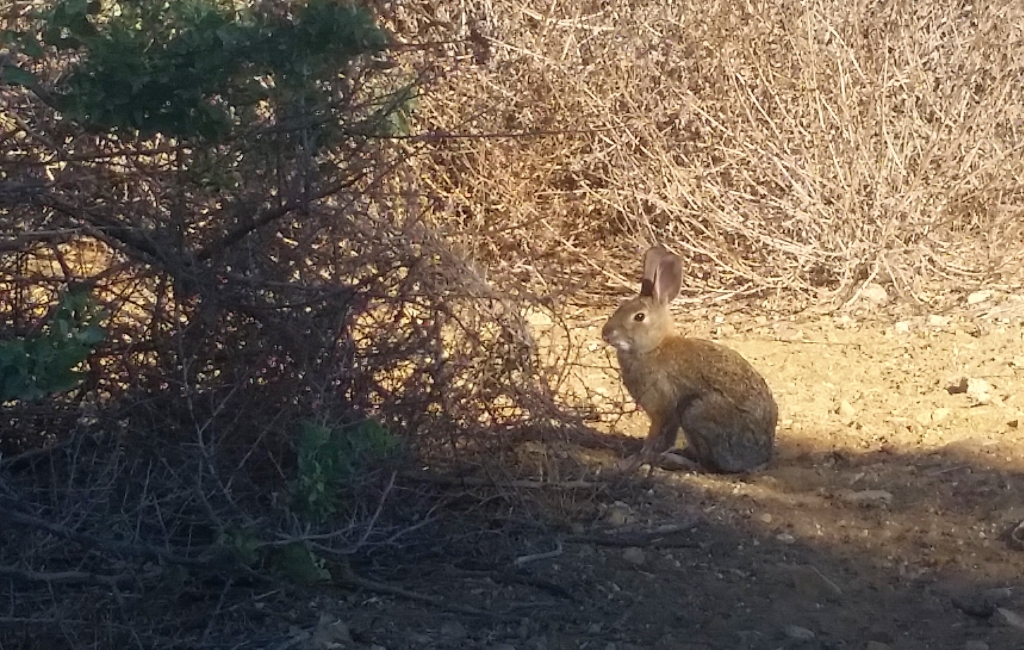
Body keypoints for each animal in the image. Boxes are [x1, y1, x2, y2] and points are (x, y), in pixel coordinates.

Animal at [601, 245, 778, 474]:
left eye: (639, 317)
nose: (606, 334)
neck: (654, 347)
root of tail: (758, 458)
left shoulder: (662, 409)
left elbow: (656, 438)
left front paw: (636, 460)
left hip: (695, 414)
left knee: (707, 466)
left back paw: (674, 460)